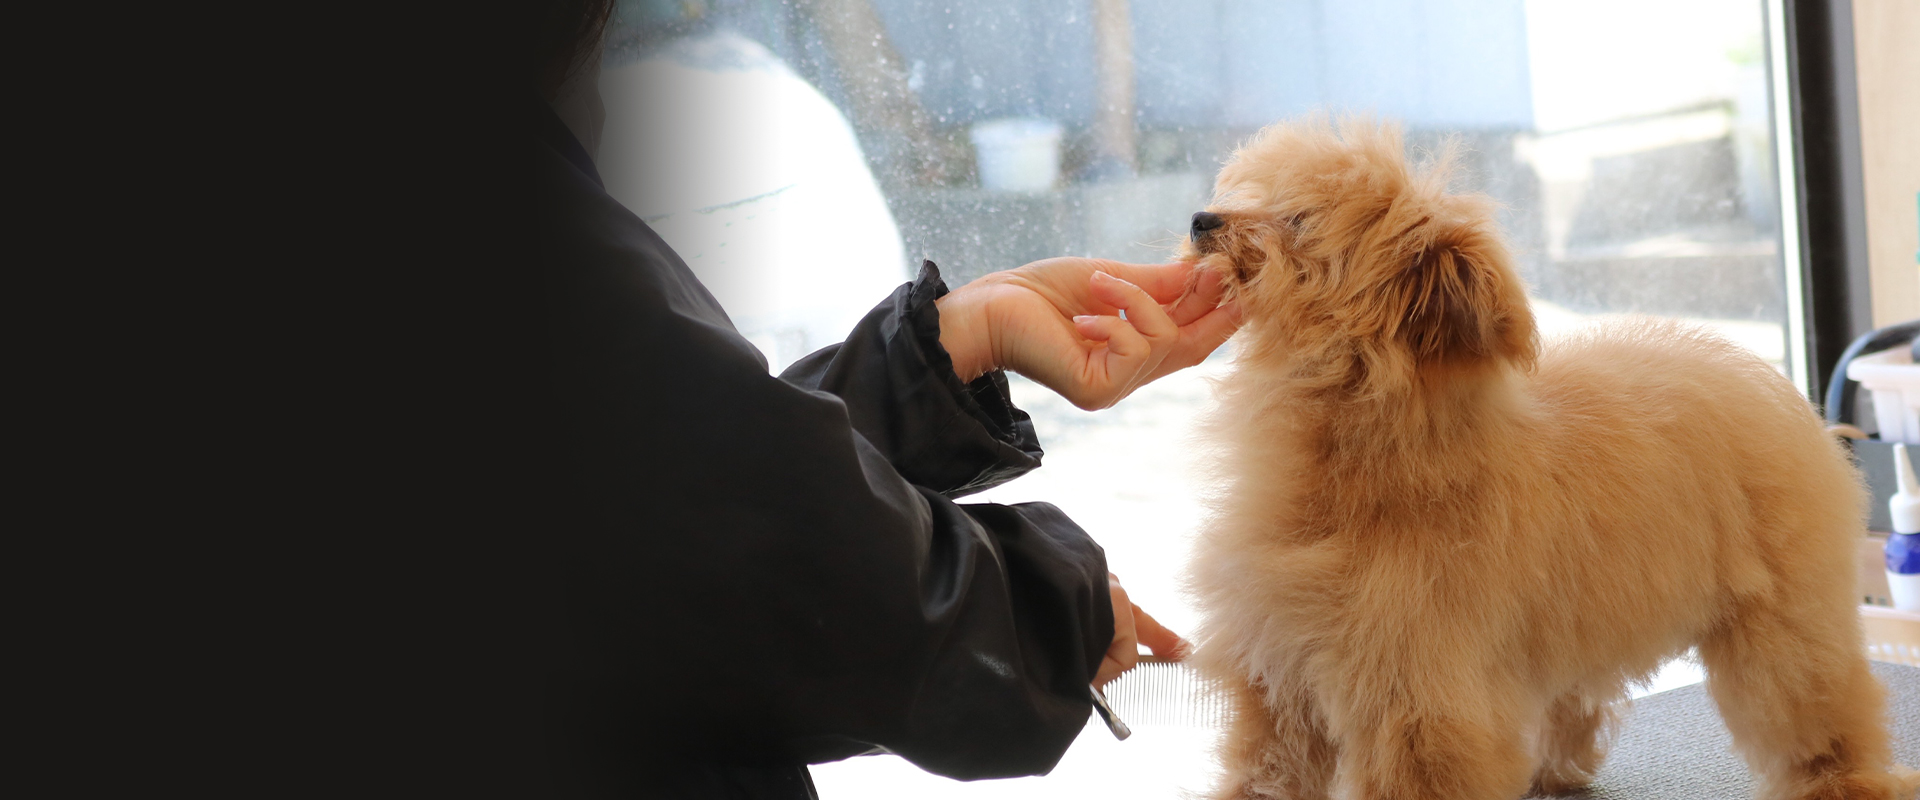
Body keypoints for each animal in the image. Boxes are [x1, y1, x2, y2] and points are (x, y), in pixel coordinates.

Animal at [1175, 117, 1912, 798]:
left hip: (1781, 619)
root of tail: (1778, 390)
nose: (1202, 218)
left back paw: (1842, 778)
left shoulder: (1419, 697)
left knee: (1814, 701)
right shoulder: (1278, 678)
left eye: (1298, 219)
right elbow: (1265, 772)